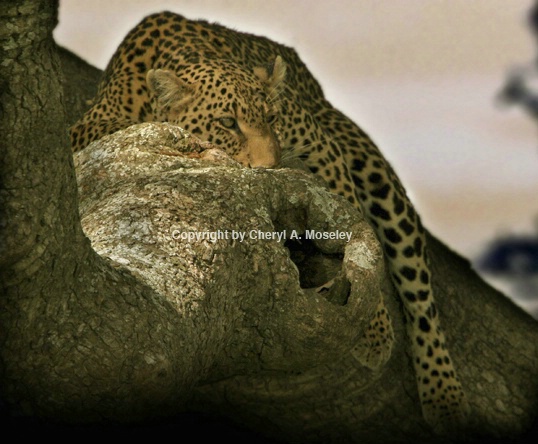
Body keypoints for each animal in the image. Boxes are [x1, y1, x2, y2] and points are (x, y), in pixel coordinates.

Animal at [70, 11, 468, 434]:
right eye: (227, 122)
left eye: (272, 118)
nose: (269, 166)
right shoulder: (89, 124)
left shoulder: (323, 151)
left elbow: (357, 235)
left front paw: (374, 327)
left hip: (374, 173)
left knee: (420, 294)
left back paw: (444, 395)